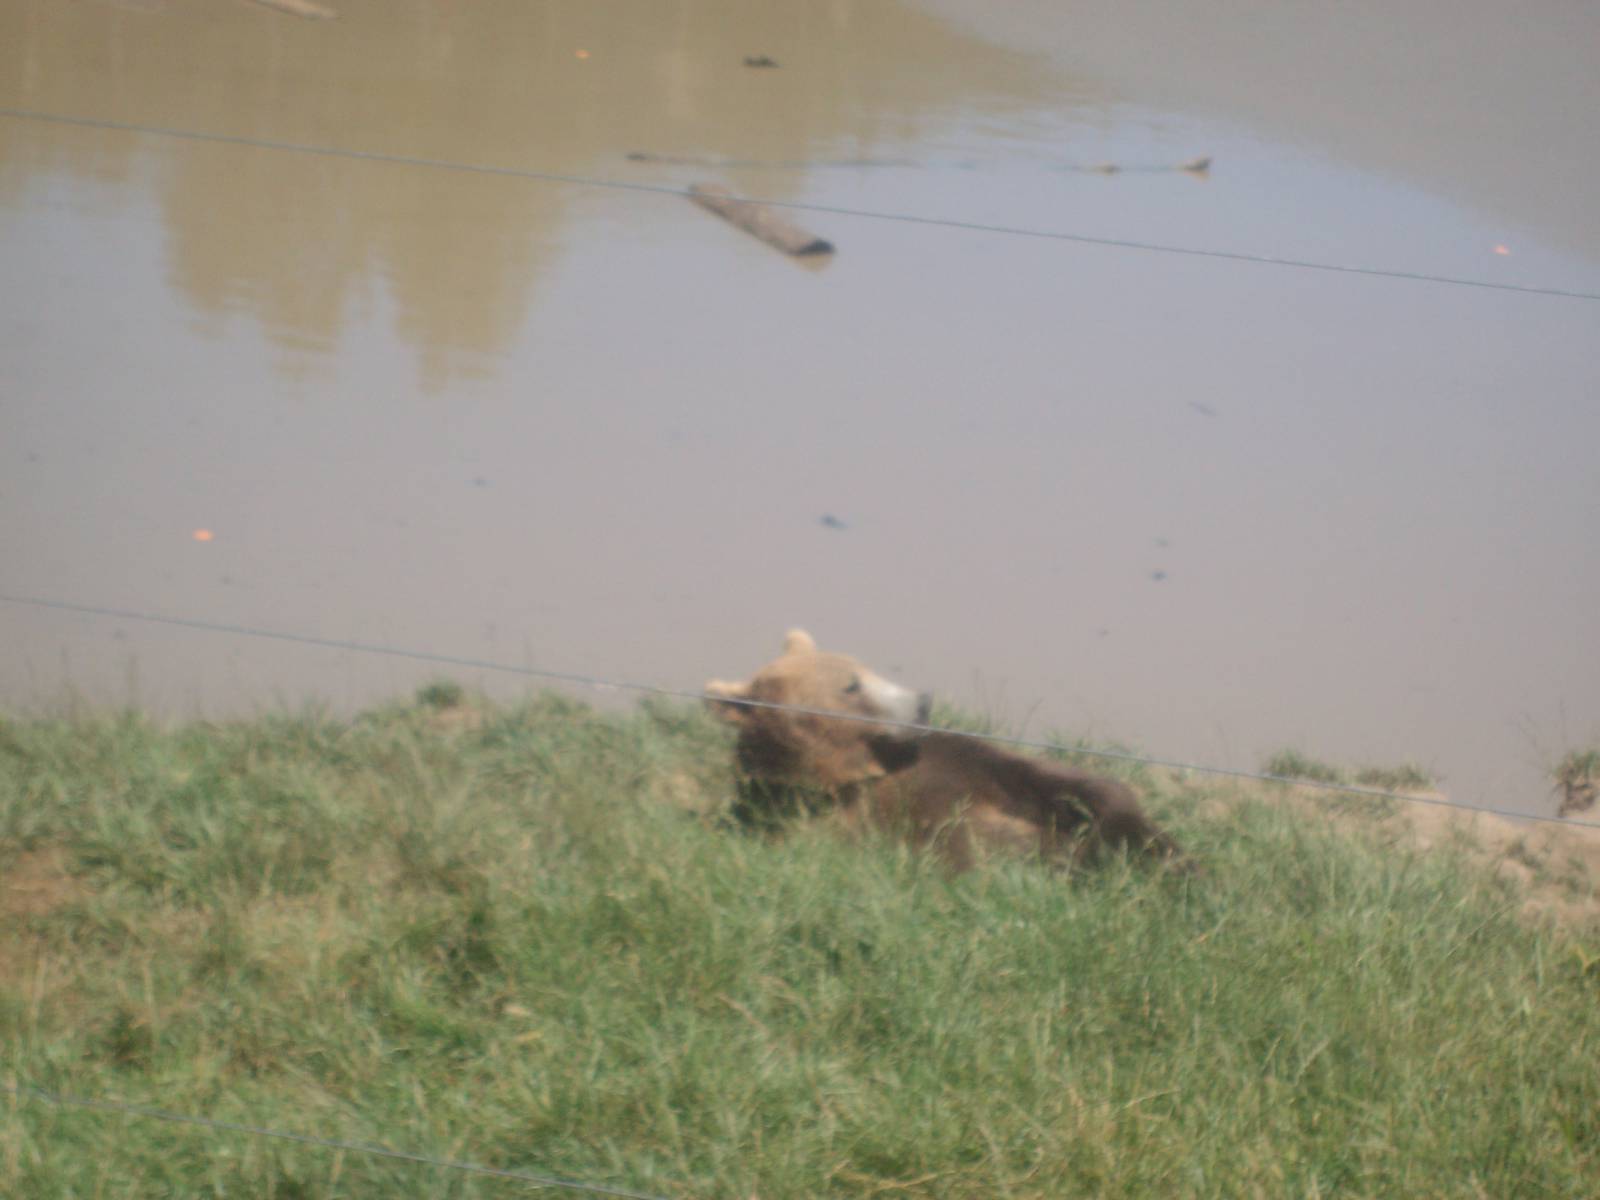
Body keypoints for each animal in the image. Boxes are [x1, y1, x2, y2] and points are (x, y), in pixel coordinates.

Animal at [704, 629, 1185, 872]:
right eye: (851, 685)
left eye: (862, 667)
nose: (923, 701)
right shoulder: (829, 823)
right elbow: (952, 849)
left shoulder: (952, 759)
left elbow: (1063, 784)